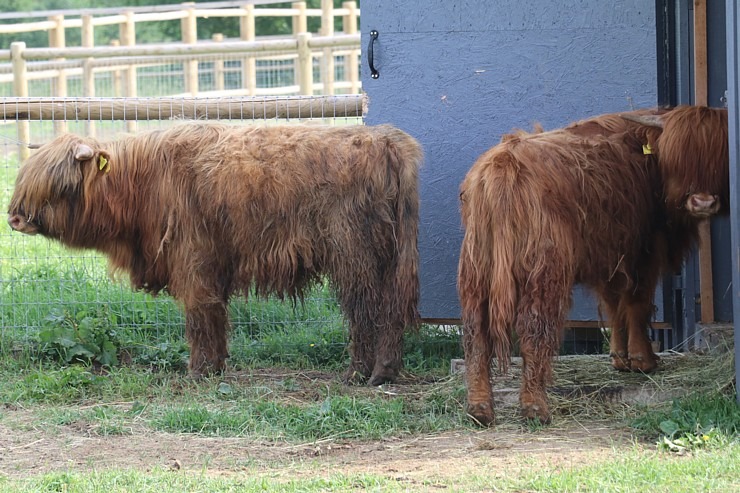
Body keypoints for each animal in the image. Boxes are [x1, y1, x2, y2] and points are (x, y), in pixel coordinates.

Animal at [8, 121, 422, 382]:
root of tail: (386, 140)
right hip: (390, 257)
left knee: (364, 309)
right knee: (390, 309)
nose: (15, 218)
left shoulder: (193, 260)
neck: (141, 184)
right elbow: (217, 316)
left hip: (354, 254)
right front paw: (218, 366)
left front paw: (199, 371)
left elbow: (200, 316)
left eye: (60, 185)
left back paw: (358, 373)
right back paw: (385, 372)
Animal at [456, 105, 728, 424]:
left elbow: (614, 305)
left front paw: (620, 358)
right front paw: (642, 359)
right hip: (544, 269)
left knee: (476, 331)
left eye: (718, 154)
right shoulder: (643, 250)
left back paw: (480, 408)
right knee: (534, 328)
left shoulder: (608, 257)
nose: (702, 202)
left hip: (477, 268)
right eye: (678, 157)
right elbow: (637, 302)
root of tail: (503, 163)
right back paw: (535, 407)